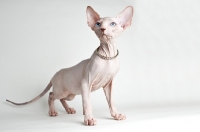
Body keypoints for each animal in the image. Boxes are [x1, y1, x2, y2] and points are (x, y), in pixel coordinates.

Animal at [6, 5, 134, 126]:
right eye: (98, 23)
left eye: (113, 24)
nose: (102, 29)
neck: (108, 56)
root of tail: (53, 76)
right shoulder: (86, 83)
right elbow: (87, 103)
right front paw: (89, 119)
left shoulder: (108, 84)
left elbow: (111, 101)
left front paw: (116, 115)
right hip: (62, 91)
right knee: (51, 95)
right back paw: (52, 111)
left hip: (70, 94)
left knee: (61, 99)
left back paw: (68, 109)